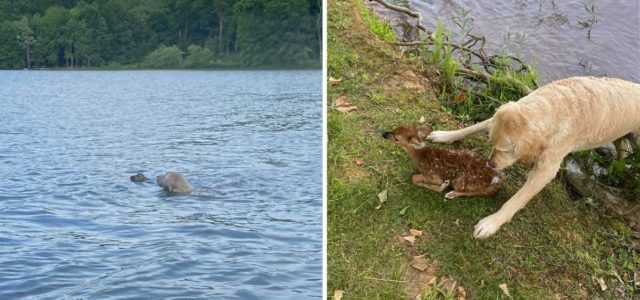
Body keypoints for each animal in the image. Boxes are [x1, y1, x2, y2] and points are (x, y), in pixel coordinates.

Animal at [424, 77, 640, 239]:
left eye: (506, 150)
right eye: (492, 143)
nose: (490, 164)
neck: (557, 106)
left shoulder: (546, 169)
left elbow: (516, 200)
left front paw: (491, 223)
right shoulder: (497, 117)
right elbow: (474, 126)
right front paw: (444, 135)